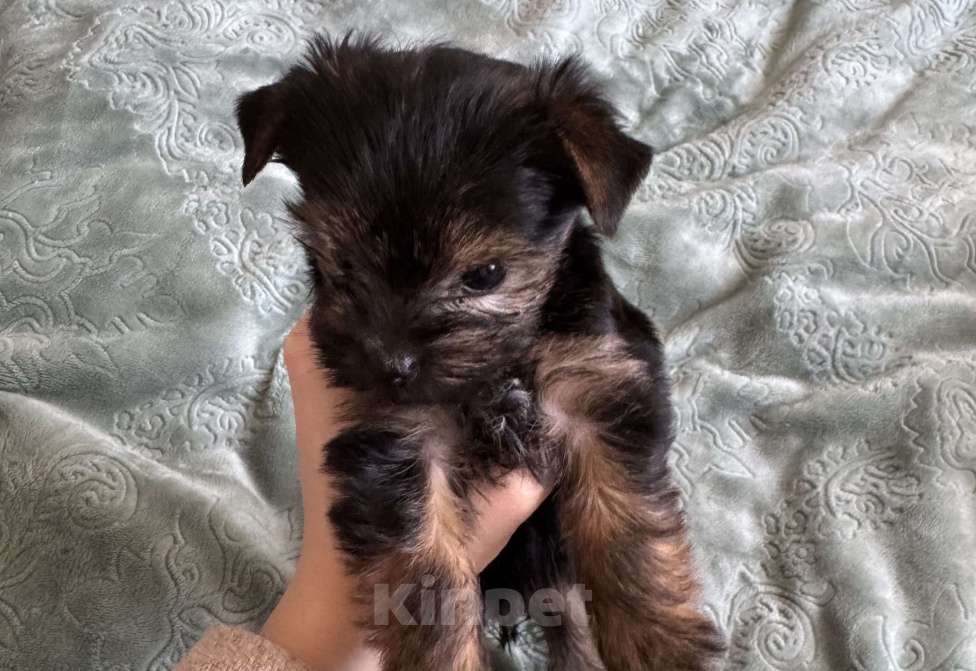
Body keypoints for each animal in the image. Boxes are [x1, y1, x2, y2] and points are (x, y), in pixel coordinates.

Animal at [237, 34, 722, 671]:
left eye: (486, 275)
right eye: (342, 265)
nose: (392, 364)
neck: (494, 374)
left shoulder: (602, 380)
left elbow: (625, 519)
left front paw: (655, 642)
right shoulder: (395, 438)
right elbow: (426, 576)